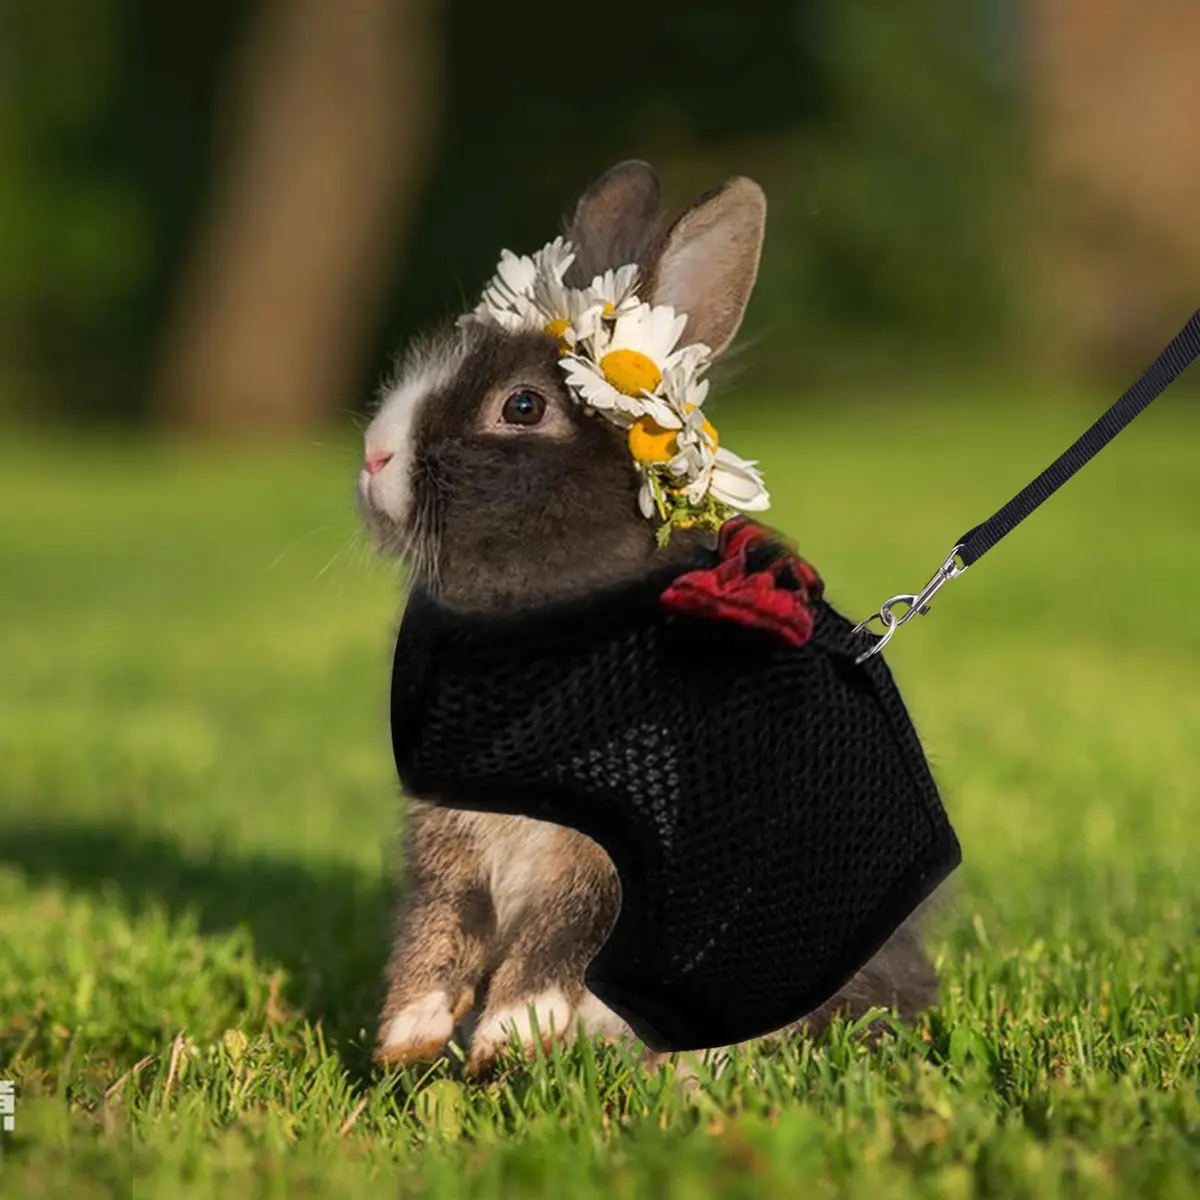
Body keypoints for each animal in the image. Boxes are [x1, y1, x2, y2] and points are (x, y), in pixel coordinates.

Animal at [358, 161, 939, 1076]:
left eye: (522, 408)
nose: (374, 457)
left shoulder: (616, 859)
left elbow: (557, 939)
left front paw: (509, 1038)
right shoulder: (449, 846)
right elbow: (436, 929)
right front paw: (407, 1040)